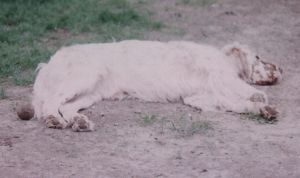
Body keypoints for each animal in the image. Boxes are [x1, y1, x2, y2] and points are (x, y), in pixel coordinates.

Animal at [32, 41, 282, 131]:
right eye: (258, 57)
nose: (282, 69)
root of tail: (49, 63)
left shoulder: (200, 97)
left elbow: (238, 102)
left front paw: (263, 110)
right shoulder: (220, 77)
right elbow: (250, 93)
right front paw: (261, 102)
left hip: (91, 93)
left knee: (66, 107)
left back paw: (80, 122)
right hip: (85, 77)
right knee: (51, 104)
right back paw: (54, 120)